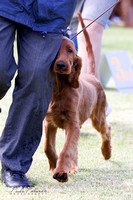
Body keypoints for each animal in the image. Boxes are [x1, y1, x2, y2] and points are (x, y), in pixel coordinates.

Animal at [44, 12, 111, 183]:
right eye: (56, 51)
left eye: (70, 51)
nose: (61, 65)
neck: (59, 87)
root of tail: (92, 76)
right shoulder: (49, 122)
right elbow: (48, 147)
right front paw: (54, 165)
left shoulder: (72, 123)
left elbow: (66, 149)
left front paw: (61, 172)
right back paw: (73, 166)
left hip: (97, 116)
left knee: (106, 129)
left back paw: (106, 152)